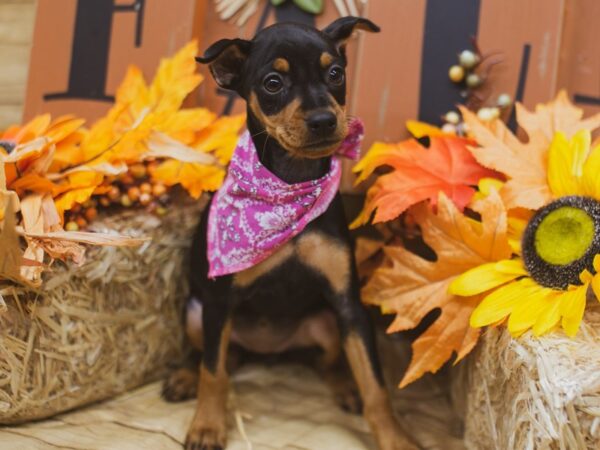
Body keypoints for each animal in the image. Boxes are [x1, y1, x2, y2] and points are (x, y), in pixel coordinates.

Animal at [162, 15, 420, 448]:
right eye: (272, 83)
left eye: (336, 73)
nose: (324, 121)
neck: (290, 183)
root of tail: (268, 350)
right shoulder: (218, 302)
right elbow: (213, 374)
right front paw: (207, 426)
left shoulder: (348, 304)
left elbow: (374, 384)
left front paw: (395, 437)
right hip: (196, 313)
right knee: (218, 358)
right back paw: (183, 377)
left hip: (327, 323)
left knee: (325, 362)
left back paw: (344, 387)